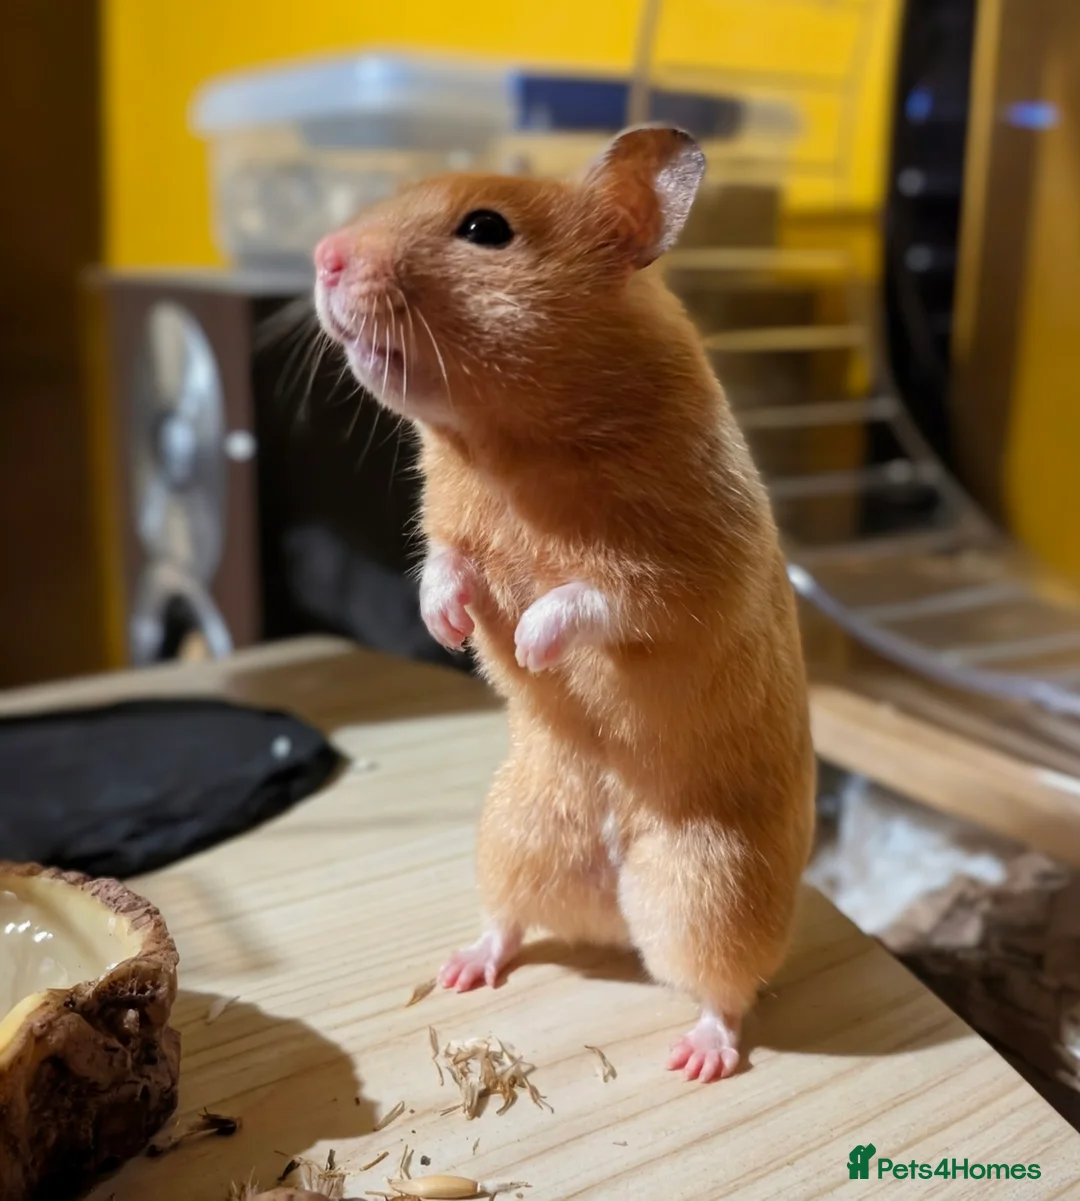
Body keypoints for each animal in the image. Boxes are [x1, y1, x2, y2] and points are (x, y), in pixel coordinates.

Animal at [313, 126, 814, 1082]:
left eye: (485, 228)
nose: (322, 254)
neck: (510, 446)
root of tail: (616, 911)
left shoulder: (688, 572)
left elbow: (592, 598)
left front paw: (533, 645)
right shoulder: (450, 526)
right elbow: (445, 565)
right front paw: (452, 626)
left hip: (713, 888)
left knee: (724, 987)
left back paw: (698, 1057)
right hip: (514, 835)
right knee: (511, 921)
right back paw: (464, 967)